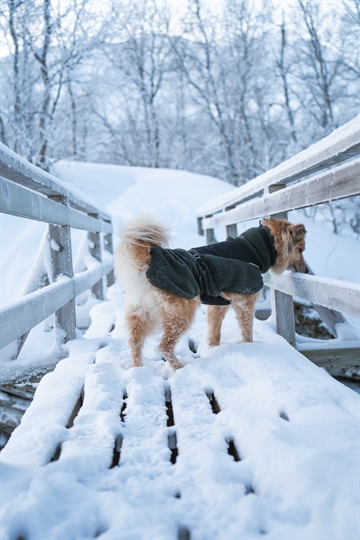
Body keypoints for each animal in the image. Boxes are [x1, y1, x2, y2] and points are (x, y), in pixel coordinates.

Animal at [115, 215, 306, 372]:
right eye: (301, 250)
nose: (306, 270)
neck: (254, 249)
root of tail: (148, 265)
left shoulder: (218, 305)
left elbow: (215, 332)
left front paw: (213, 347)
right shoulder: (245, 303)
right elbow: (247, 330)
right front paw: (249, 347)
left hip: (142, 315)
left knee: (135, 343)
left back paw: (138, 369)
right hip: (181, 315)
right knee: (164, 347)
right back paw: (179, 368)